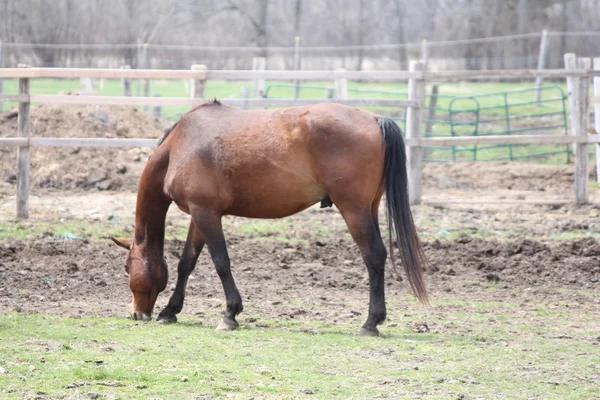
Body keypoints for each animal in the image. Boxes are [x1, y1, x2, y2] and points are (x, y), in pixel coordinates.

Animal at [111, 99, 426, 334]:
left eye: (127, 268)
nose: (136, 314)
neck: (180, 145)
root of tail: (375, 119)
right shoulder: (200, 215)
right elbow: (186, 263)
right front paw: (170, 310)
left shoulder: (205, 213)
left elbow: (221, 262)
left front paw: (230, 314)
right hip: (368, 207)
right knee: (379, 255)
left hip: (353, 210)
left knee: (373, 255)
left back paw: (370, 323)